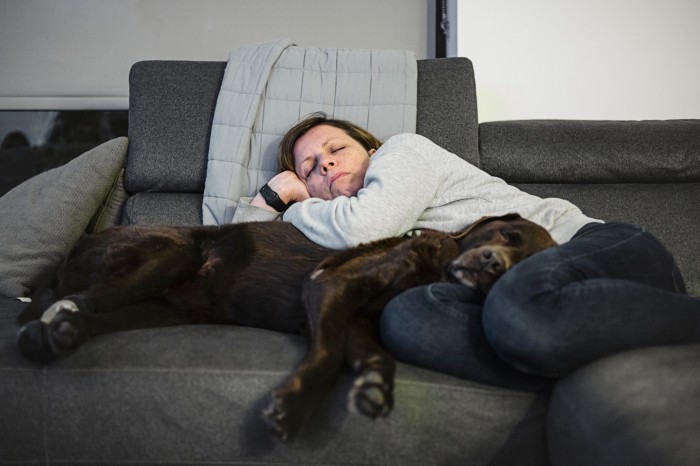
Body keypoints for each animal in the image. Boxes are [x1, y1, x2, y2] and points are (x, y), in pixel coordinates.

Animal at [16, 215, 556, 440]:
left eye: (518, 265)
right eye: (505, 234)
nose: (492, 264)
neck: (427, 271)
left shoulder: (355, 320)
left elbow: (372, 356)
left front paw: (374, 387)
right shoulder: (329, 286)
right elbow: (326, 356)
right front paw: (292, 408)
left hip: (164, 309)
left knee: (92, 315)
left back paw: (55, 337)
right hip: (175, 251)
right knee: (77, 300)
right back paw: (44, 329)